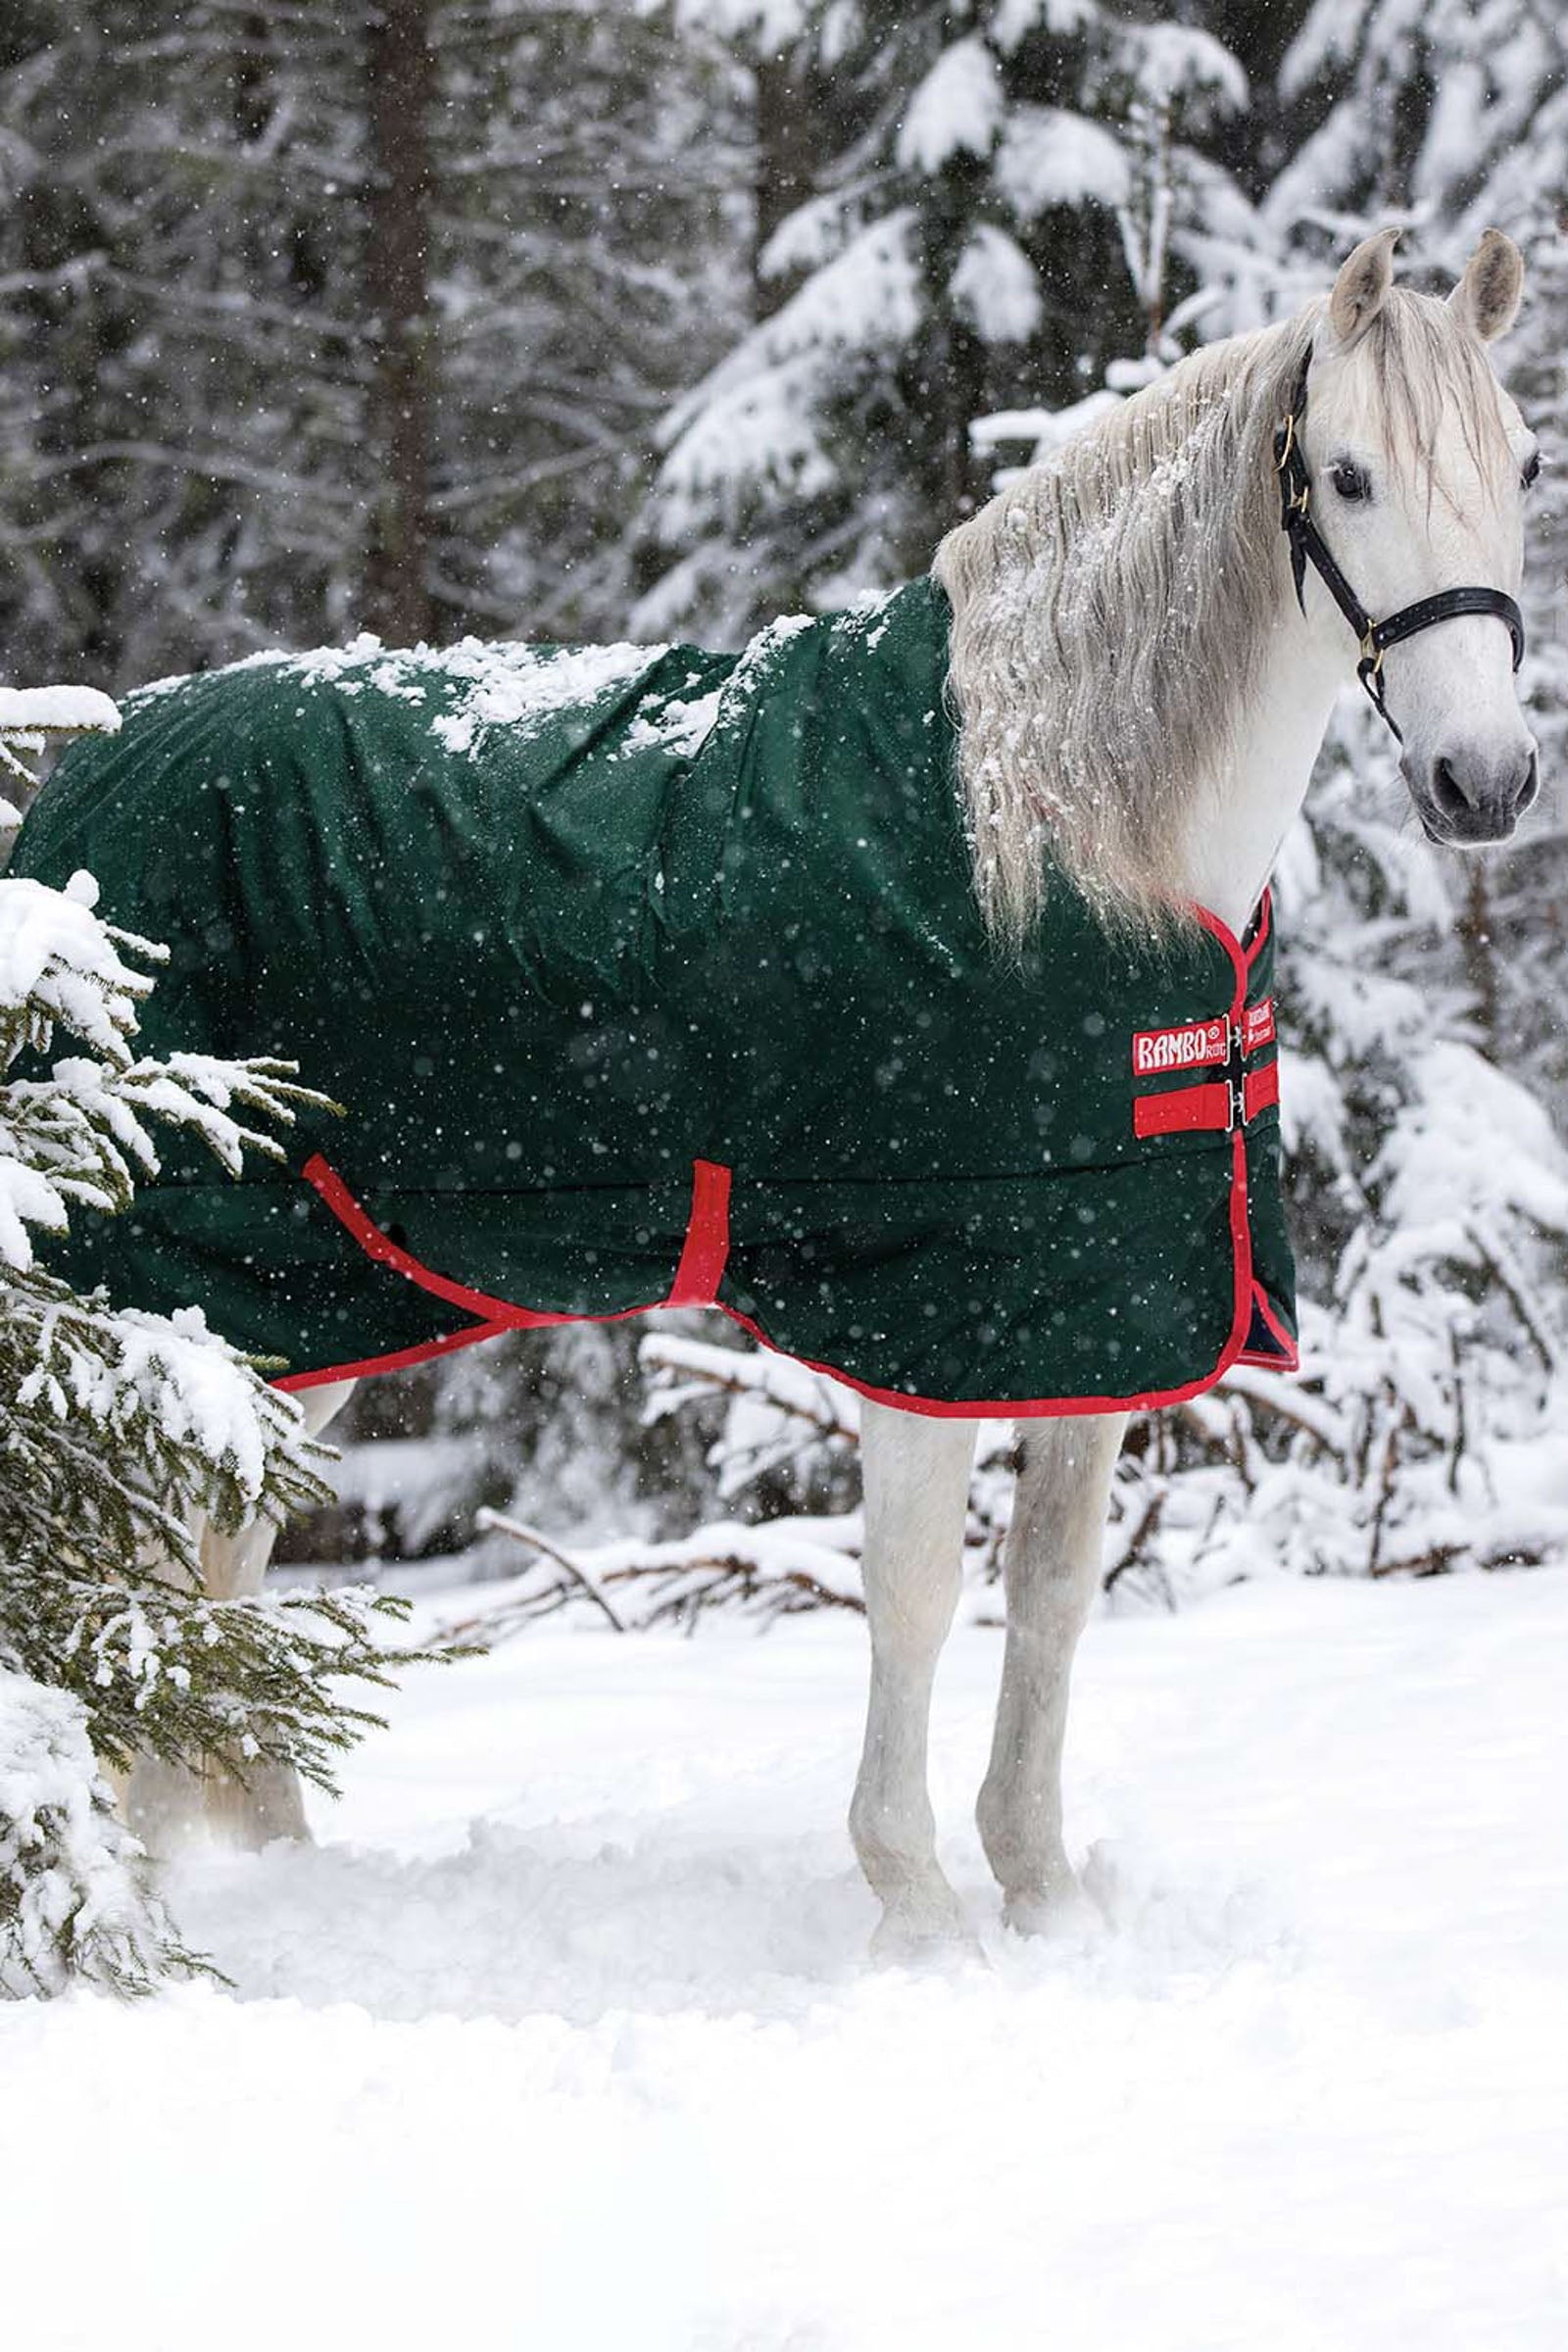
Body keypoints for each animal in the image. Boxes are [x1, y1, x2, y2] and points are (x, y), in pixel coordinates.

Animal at [22, 229, 1542, 1952]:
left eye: (1524, 464)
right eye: (1348, 474)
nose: (1486, 782)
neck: (1058, 840)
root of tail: (92, 764)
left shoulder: (1087, 1305)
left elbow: (1055, 1597)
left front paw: (1041, 1898)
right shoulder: (930, 1310)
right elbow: (920, 1596)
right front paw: (920, 1911)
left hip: (308, 1303)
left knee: (222, 1549)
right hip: (178, 1287)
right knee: (143, 1559)